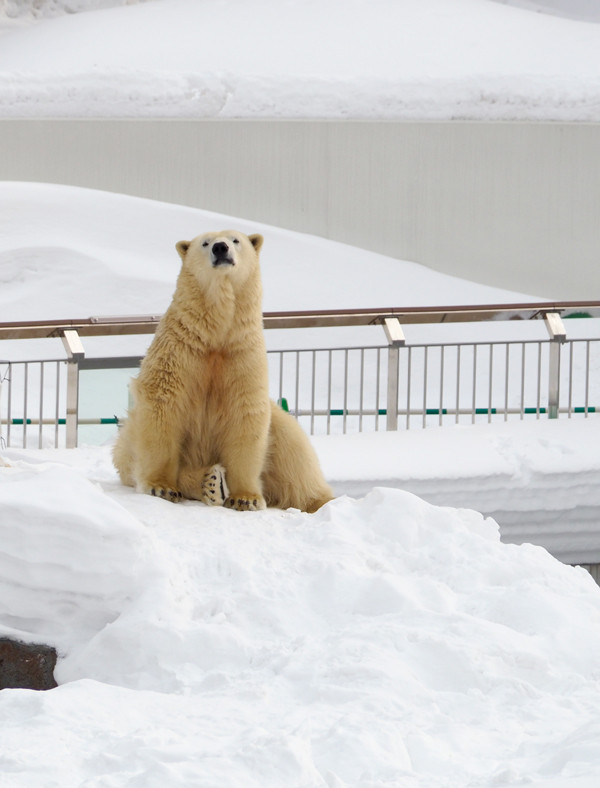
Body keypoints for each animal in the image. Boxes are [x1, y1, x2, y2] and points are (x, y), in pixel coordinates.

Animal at [112, 229, 332, 510]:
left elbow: (245, 414)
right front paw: (161, 487)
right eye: (205, 243)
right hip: (127, 441)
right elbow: (164, 404)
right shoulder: (180, 351)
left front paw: (245, 498)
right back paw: (210, 481)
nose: (220, 248)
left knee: (294, 452)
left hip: (281, 426)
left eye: (236, 240)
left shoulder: (242, 354)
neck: (215, 334)